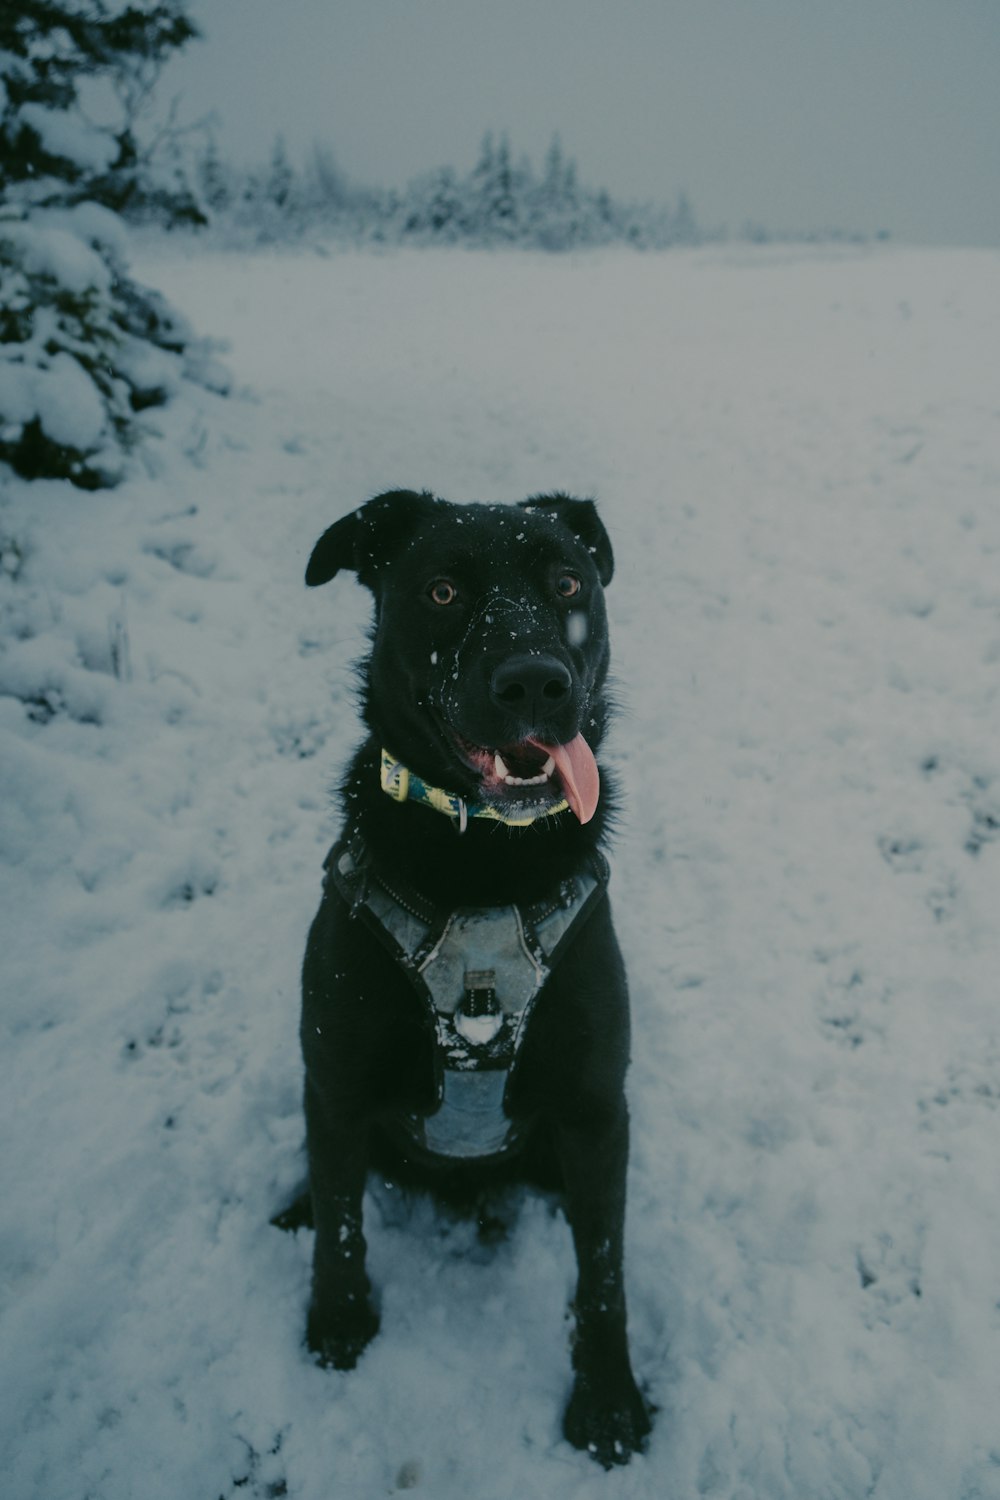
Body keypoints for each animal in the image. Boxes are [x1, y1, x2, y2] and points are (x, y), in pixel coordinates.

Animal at [299, 489, 650, 1464]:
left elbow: (604, 1272)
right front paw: (338, 1322)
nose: (534, 681)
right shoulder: (336, 1084)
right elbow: (342, 1225)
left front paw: (608, 1399)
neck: (485, 870)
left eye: (567, 582)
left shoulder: (597, 1114)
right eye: (443, 590)